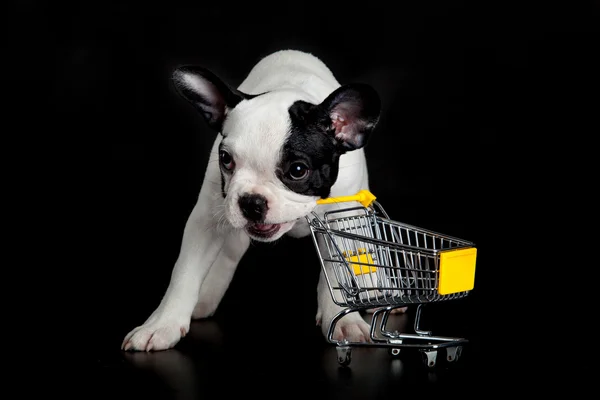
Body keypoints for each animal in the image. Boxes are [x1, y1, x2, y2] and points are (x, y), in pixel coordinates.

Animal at [121, 48, 404, 352]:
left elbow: (342, 270)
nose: (251, 202)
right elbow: (183, 273)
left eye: (298, 170)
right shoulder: (206, 220)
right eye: (226, 159)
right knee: (229, 252)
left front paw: (345, 321)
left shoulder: (341, 220)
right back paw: (206, 295)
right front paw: (162, 325)